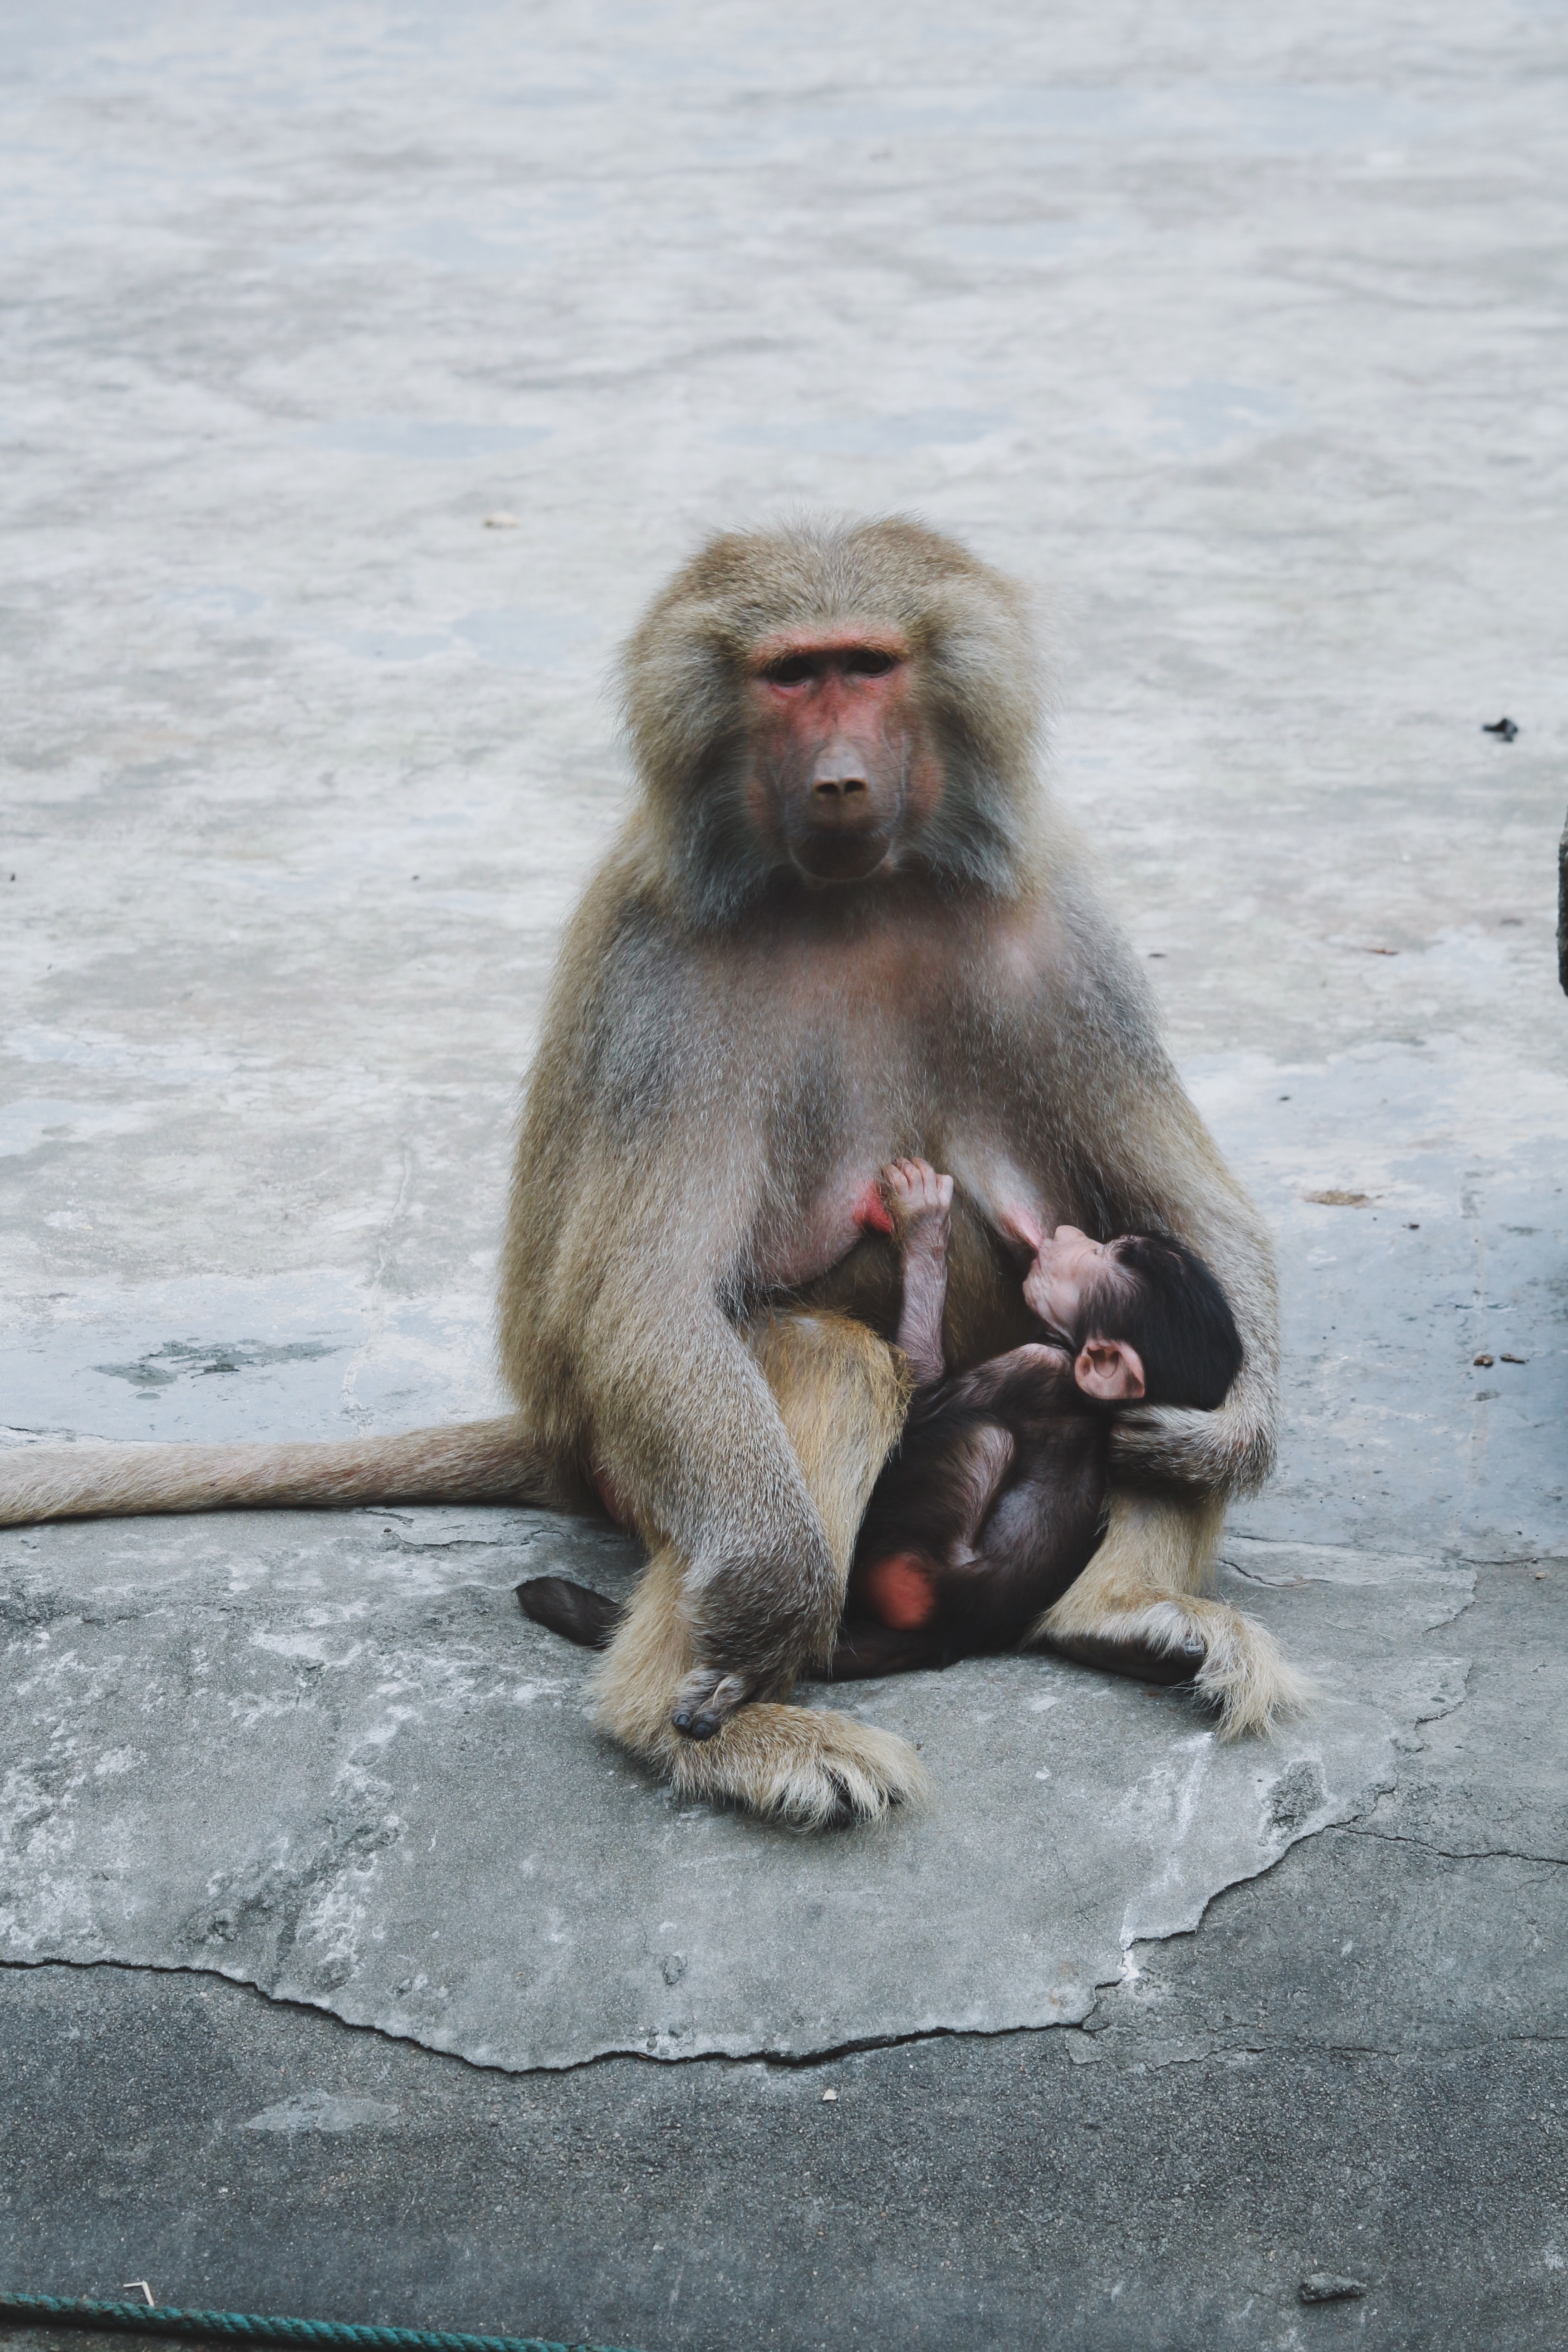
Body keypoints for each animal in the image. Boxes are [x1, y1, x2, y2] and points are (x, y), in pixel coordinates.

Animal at [520, 1156, 1246, 1685]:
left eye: (1099, 1258)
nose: (1067, 1235)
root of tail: (952, 1635)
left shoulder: (1034, 1366)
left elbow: (923, 1396)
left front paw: (925, 1226)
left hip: (900, 1556)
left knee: (981, 1439)